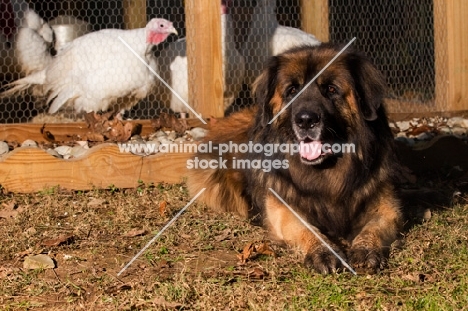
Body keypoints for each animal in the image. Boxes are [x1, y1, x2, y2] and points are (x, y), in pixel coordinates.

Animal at [186, 44, 402, 276]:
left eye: (331, 89)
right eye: (292, 90)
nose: (306, 120)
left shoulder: (386, 207)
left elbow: (374, 227)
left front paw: (365, 248)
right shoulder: (282, 207)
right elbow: (306, 229)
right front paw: (323, 251)